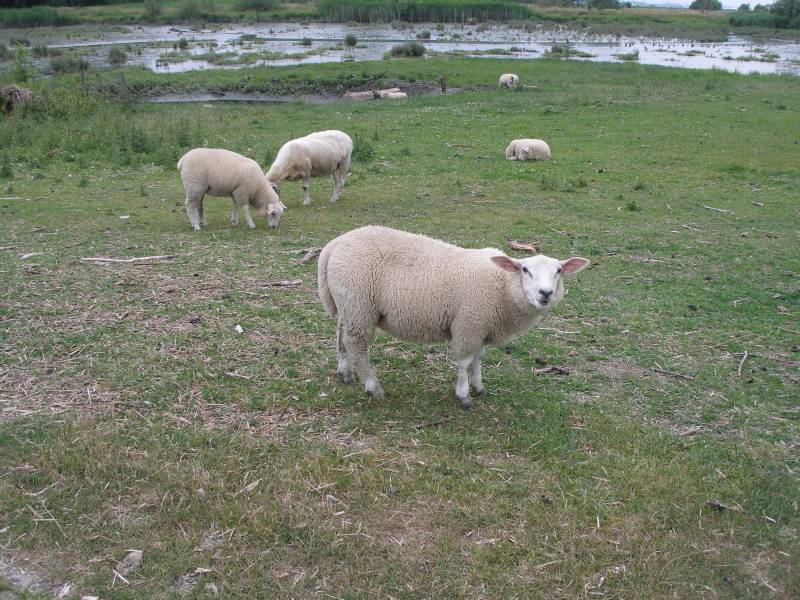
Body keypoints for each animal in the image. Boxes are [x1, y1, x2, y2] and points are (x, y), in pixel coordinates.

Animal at [318, 227, 588, 410]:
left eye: (559, 271)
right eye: (525, 270)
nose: (546, 293)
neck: (502, 285)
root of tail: (333, 246)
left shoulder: (481, 326)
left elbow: (478, 359)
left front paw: (479, 387)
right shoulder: (469, 323)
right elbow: (464, 362)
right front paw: (464, 396)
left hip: (348, 306)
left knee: (341, 337)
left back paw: (345, 374)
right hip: (360, 306)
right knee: (357, 346)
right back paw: (373, 387)